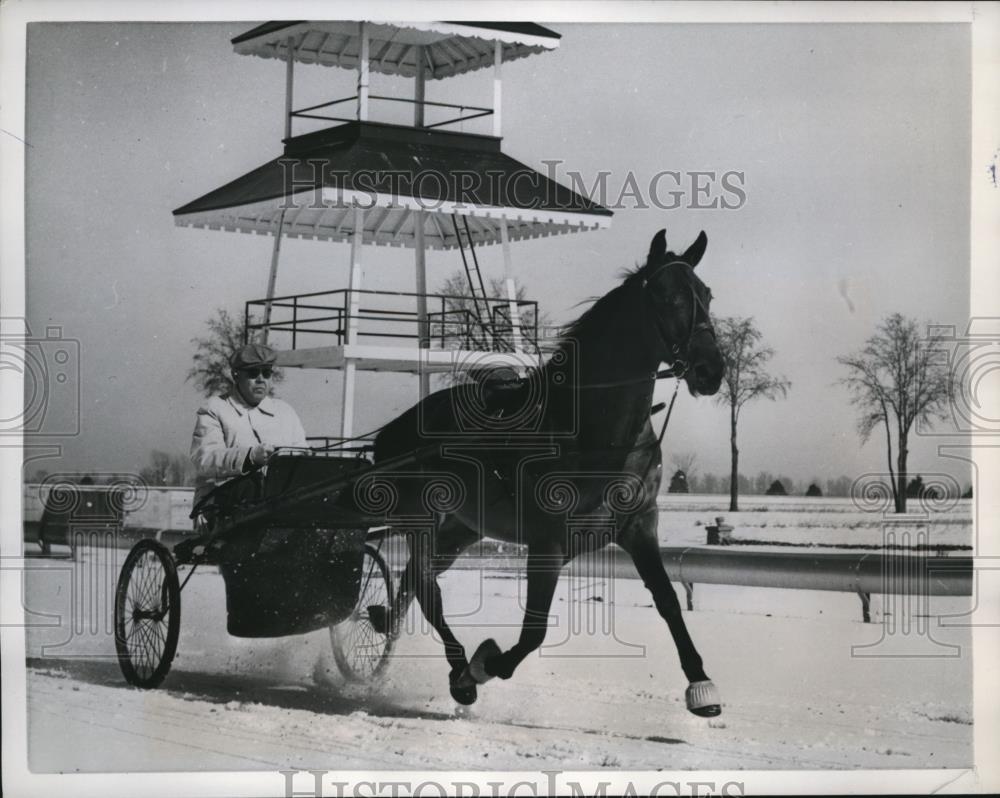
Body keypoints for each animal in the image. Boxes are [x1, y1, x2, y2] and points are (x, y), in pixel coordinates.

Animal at [360, 228, 728, 716]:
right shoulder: (548, 542)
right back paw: (459, 670)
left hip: (462, 527)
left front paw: (701, 684)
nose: (711, 370)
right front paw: (481, 665)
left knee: (416, 579)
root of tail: (392, 431)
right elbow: (532, 633)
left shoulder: (639, 525)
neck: (593, 432)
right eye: (667, 297)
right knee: (425, 586)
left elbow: (668, 600)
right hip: (418, 518)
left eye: (706, 294)